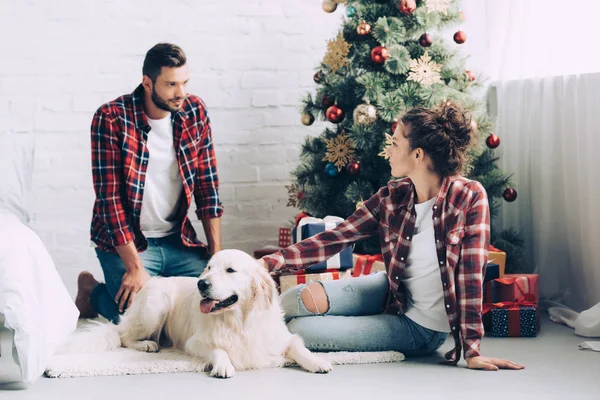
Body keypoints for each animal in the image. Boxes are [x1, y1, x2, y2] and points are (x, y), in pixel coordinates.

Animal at [62, 250, 332, 378]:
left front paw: (318, 362)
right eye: (209, 267)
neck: (238, 320)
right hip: (155, 305)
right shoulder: (195, 342)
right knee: (123, 337)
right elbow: (219, 349)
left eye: (230, 270)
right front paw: (223, 365)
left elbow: (298, 347)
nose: (201, 283)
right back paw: (147, 345)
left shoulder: (280, 337)